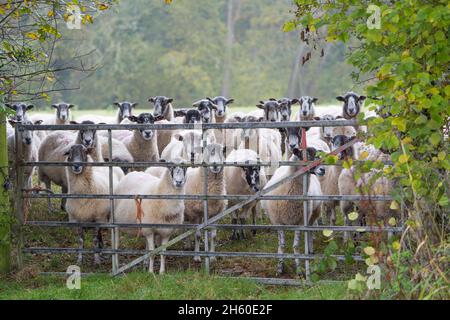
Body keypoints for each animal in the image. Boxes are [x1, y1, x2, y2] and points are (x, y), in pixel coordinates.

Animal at [262, 148, 326, 276]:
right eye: (307, 155)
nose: (323, 170)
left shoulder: (300, 222)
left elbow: (296, 246)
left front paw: (299, 269)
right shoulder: (278, 222)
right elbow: (282, 245)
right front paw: (279, 268)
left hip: (314, 213)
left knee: (310, 231)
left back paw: (310, 249)